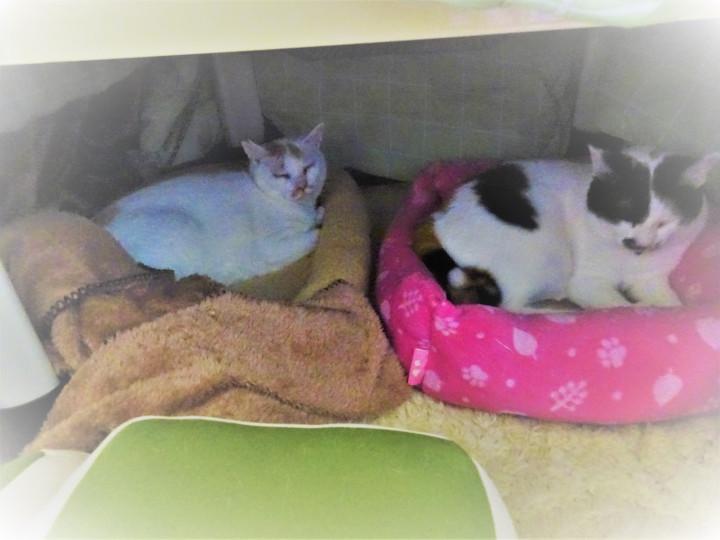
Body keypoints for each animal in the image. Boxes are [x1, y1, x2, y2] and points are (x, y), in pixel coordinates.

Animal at [99, 124, 327, 286]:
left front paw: (318, 214)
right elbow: (313, 235)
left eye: (307, 168)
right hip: (180, 228)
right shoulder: (271, 246)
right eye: (281, 175)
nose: (301, 186)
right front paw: (316, 226)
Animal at [414, 144, 719, 311]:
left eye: (664, 222)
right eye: (623, 213)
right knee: (508, 307)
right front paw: (637, 308)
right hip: (545, 257)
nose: (637, 244)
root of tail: (437, 217)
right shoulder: (586, 281)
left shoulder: (651, 279)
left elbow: (671, 305)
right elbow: (617, 306)